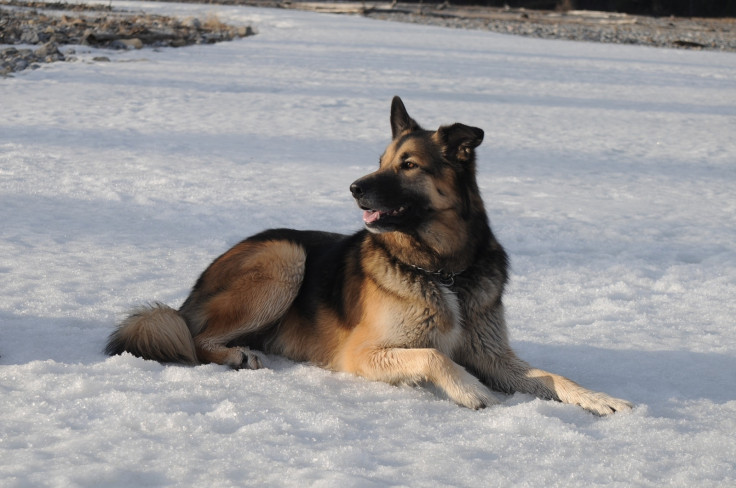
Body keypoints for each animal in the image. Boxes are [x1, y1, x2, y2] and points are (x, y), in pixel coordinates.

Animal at [105, 96, 632, 416]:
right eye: (380, 161)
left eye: (409, 165)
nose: (355, 188)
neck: (443, 271)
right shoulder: (362, 353)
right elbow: (435, 357)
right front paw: (472, 390)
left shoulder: (494, 354)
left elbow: (551, 374)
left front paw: (598, 397)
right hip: (285, 257)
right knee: (194, 336)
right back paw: (236, 354)